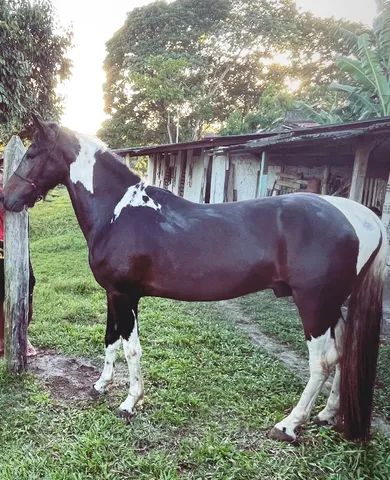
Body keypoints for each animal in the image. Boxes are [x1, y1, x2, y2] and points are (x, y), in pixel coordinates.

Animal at [3, 117, 386, 442]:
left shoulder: (126, 295)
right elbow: (111, 340)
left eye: (32, 154)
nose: (7, 199)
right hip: (333, 304)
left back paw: (289, 425)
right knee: (343, 353)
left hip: (314, 305)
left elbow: (131, 348)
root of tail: (359, 216)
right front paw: (101, 385)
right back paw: (327, 414)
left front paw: (129, 403)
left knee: (322, 362)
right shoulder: (114, 294)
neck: (118, 212)